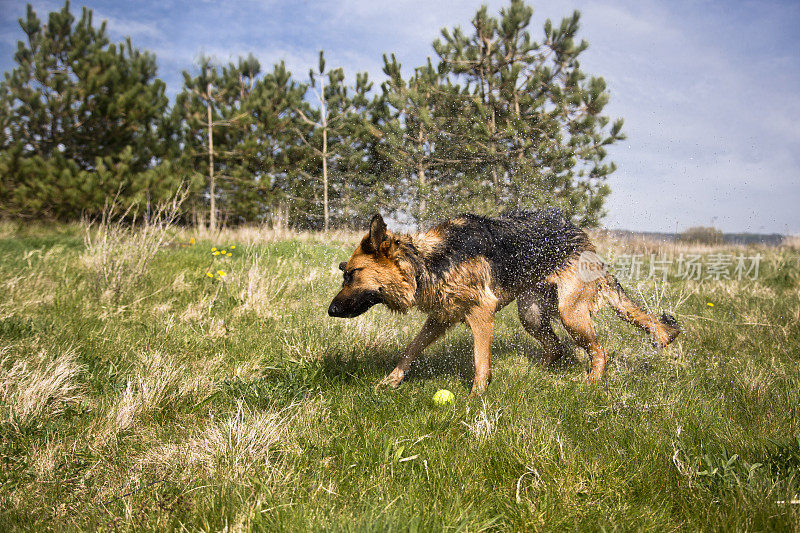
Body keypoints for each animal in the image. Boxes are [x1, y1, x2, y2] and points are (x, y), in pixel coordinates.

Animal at [328, 210, 680, 392]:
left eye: (352, 274)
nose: (330, 311)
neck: (426, 261)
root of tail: (582, 238)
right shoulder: (442, 317)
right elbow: (411, 349)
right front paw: (391, 381)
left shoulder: (481, 313)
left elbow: (481, 362)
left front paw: (476, 398)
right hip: (532, 313)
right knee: (557, 348)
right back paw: (534, 372)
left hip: (570, 314)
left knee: (599, 351)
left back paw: (591, 382)